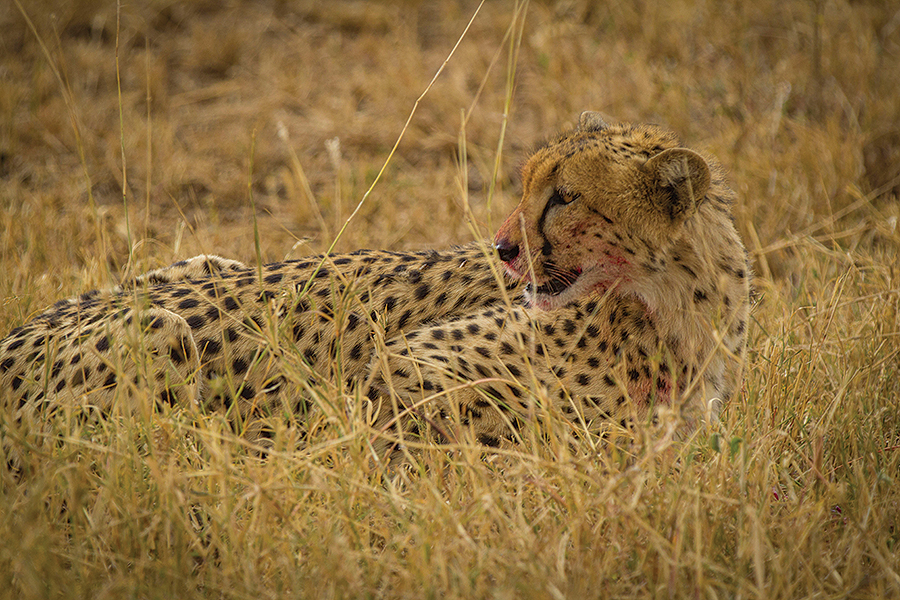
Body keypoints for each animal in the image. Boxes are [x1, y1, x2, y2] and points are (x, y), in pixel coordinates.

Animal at [0, 112, 751, 456]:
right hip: (161, 327)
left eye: (565, 197)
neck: (680, 305)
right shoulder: (405, 364)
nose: (504, 248)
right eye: (527, 185)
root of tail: (19, 330)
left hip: (199, 263)